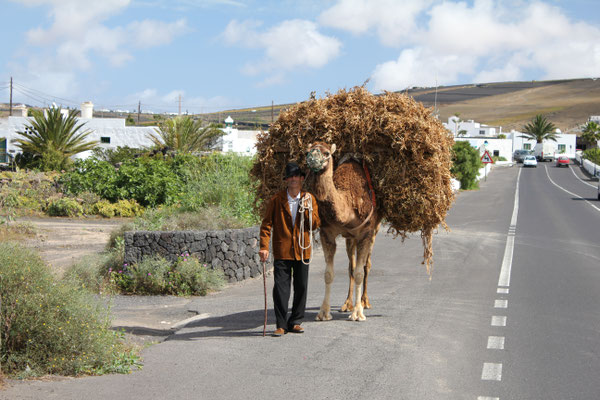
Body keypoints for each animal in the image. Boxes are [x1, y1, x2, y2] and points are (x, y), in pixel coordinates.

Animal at [308, 141, 382, 322]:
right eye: (307, 151)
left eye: (326, 153)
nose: (312, 159)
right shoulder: (327, 233)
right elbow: (329, 274)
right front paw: (323, 313)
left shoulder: (366, 232)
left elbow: (360, 272)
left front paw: (358, 313)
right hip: (350, 238)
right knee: (351, 266)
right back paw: (347, 303)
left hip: (374, 230)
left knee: (367, 265)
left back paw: (365, 302)